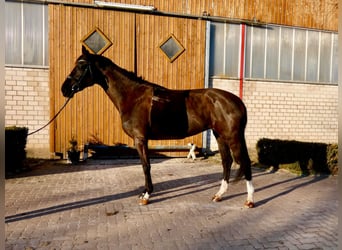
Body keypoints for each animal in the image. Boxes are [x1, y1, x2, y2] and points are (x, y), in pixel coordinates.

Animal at [61, 46, 254, 207]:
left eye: (82, 66)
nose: (64, 89)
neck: (133, 96)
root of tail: (237, 101)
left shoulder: (140, 139)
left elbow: (146, 166)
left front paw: (146, 195)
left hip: (232, 136)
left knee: (243, 161)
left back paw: (250, 200)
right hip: (219, 135)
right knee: (227, 162)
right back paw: (219, 195)